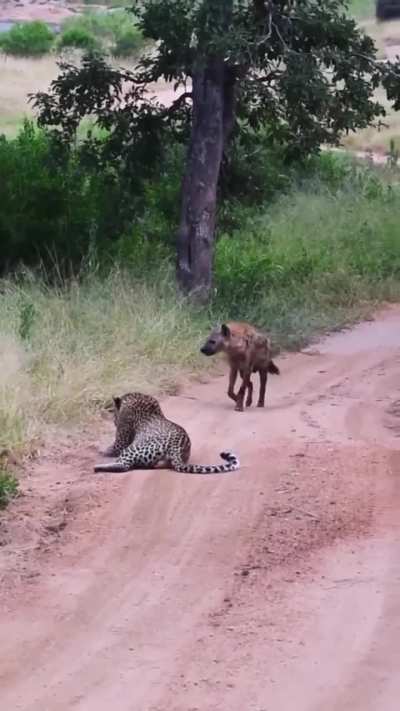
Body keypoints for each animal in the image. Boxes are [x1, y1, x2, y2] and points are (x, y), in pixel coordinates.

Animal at [94, 392, 240, 474]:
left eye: (114, 413)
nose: (113, 421)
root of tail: (177, 449)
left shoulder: (121, 441)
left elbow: (110, 449)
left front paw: (97, 450)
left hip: (132, 449)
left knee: (124, 466)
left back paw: (97, 467)